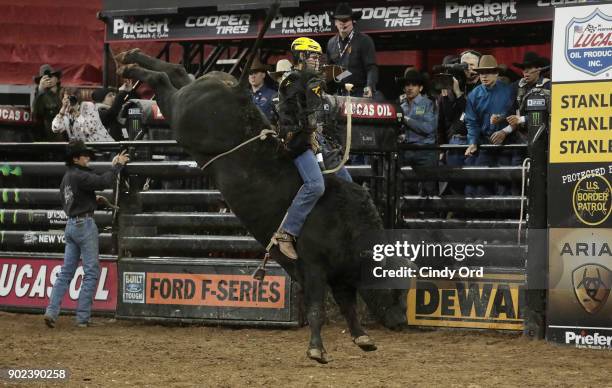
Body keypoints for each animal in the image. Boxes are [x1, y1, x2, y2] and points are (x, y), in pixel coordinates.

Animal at [113, 49, 406, 364]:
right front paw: (317, 349)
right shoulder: (314, 267)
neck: (346, 226)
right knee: (161, 80)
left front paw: (362, 338)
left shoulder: (341, 278)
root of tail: (240, 92)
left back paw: (130, 58)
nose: (401, 322)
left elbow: (349, 308)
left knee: (177, 71)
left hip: (192, 92)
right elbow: (317, 308)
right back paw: (129, 66)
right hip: (180, 113)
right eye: (393, 288)